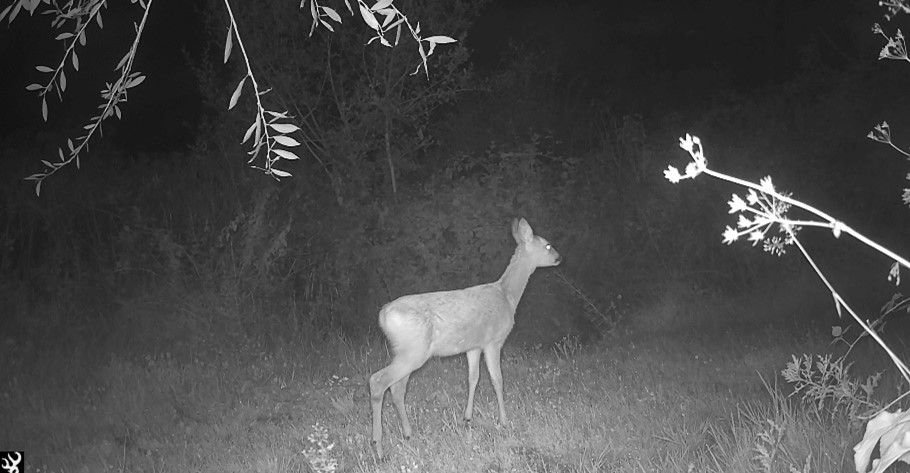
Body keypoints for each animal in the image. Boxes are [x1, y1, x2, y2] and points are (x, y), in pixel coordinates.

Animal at [370, 218, 564, 458]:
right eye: (548, 245)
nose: (559, 257)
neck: (507, 296)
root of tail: (384, 314)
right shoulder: (493, 341)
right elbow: (497, 379)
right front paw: (504, 421)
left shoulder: (474, 346)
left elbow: (473, 378)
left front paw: (467, 418)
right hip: (414, 350)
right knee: (378, 381)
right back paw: (378, 447)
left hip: (406, 351)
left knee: (397, 388)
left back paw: (407, 434)